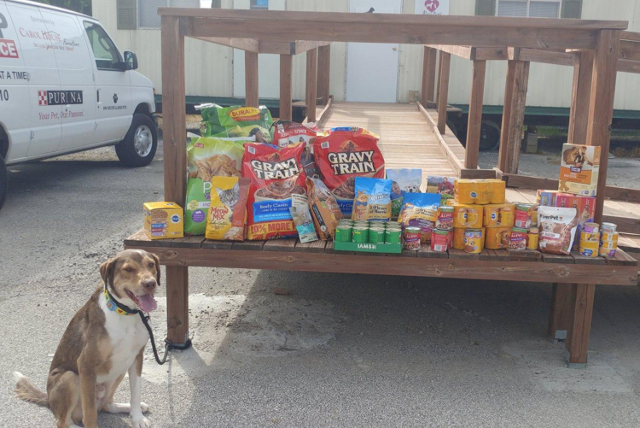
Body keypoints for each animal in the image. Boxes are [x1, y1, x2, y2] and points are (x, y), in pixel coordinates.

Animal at [14, 249, 160, 428]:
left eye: (151, 264)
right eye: (128, 269)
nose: (150, 283)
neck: (125, 312)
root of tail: (49, 401)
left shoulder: (136, 357)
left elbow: (136, 392)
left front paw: (137, 417)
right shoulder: (86, 364)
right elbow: (89, 414)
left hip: (119, 369)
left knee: (106, 405)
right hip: (70, 377)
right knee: (64, 422)